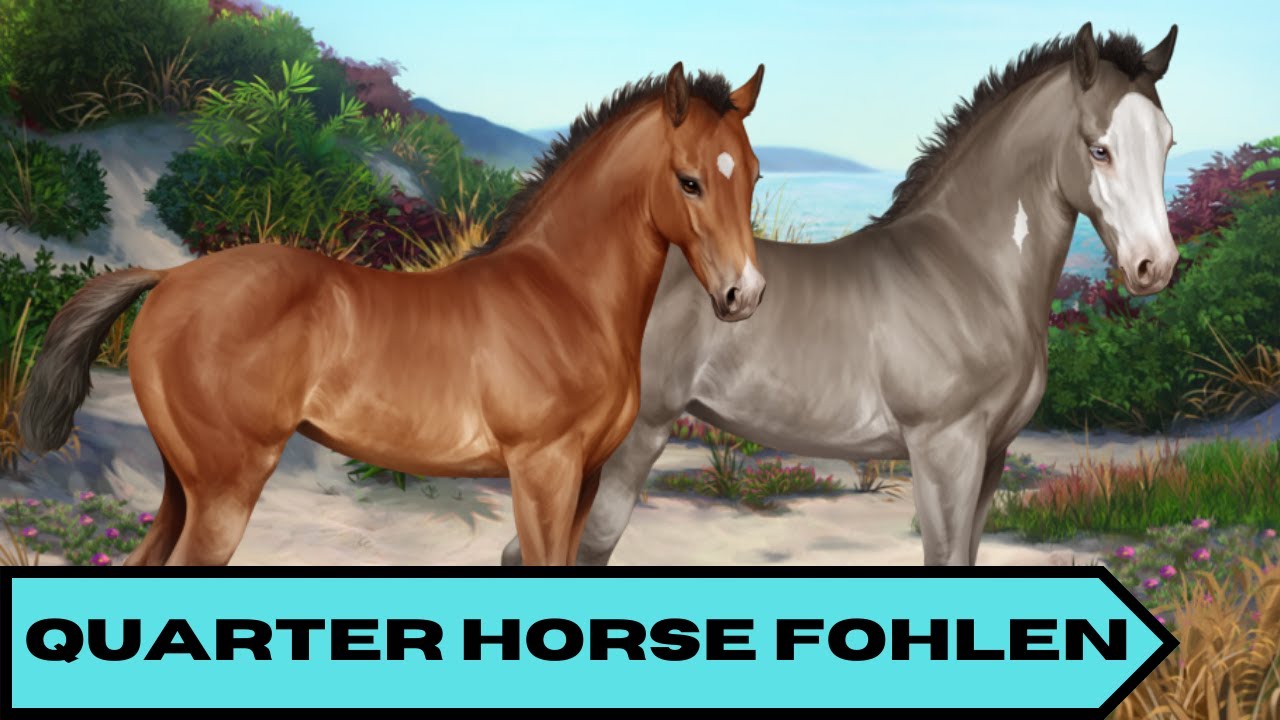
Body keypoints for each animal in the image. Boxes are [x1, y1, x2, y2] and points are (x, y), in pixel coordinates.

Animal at [19, 61, 769, 567]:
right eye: (689, 180)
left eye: (756, 174)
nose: (745, 295)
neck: (560, 293)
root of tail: (171, 277)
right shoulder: (543, 474)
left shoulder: (583, 480)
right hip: (223, 489)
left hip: (183, 484)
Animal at [502, 22, 1182, 567]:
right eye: (1099, 147)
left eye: (1169, 141)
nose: (1155, 266)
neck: (965, 270)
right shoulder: (944, 450)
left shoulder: (991, 456)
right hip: (631, 441)